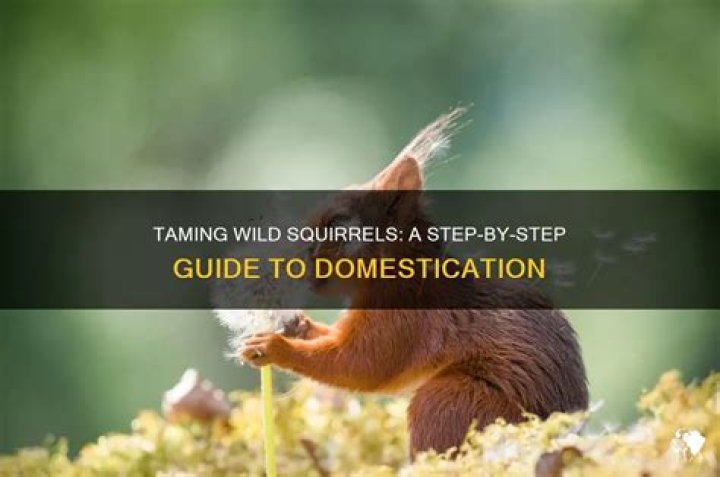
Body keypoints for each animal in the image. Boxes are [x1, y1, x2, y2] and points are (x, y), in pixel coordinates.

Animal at [241, 108, 588, 457]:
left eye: (339, 224)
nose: (301, 249)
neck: (396, 266)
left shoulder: (403, 317)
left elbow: (362, 364)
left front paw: (273, 347)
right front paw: (296, 326)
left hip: (450, 401)